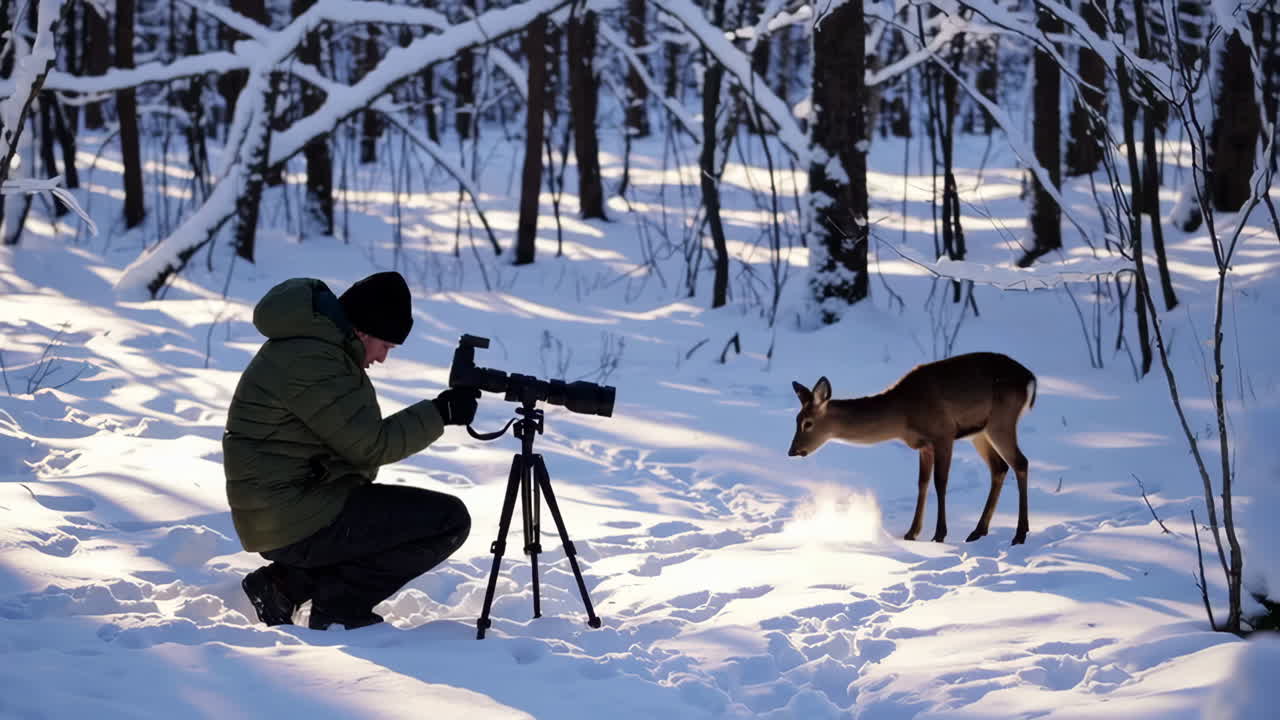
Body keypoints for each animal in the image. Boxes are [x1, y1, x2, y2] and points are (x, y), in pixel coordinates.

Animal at [788, 352, 1036, 545]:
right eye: (796, 419)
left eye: (807, 423)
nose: (792, 451)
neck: (903, 414)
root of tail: (1030, 379)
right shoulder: (923, 445)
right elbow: (922, 483)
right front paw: (911, 533)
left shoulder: (943, 433)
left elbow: (940, 482)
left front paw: (939, 534)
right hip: (980, 432)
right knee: (1000, 467)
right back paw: (978, 531)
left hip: (1001, 420)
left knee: (1021, 462)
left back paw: (1019, 534)